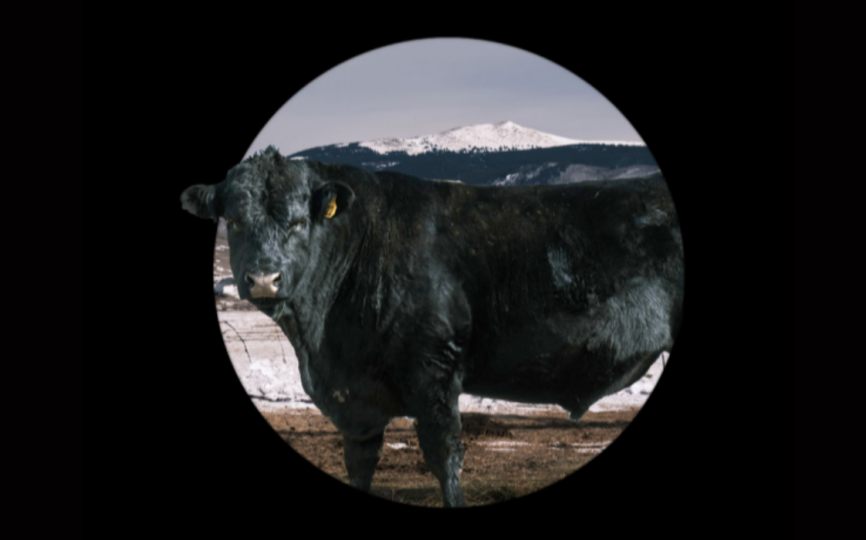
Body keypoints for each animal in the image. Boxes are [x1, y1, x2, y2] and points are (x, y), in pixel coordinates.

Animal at [181, 146, 684, 507]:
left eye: (300, 221)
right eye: (234, 220)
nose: (264, 278)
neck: (323, 342)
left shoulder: (433, 371)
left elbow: (445, 457)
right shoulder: (356, 401)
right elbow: (359, 462)